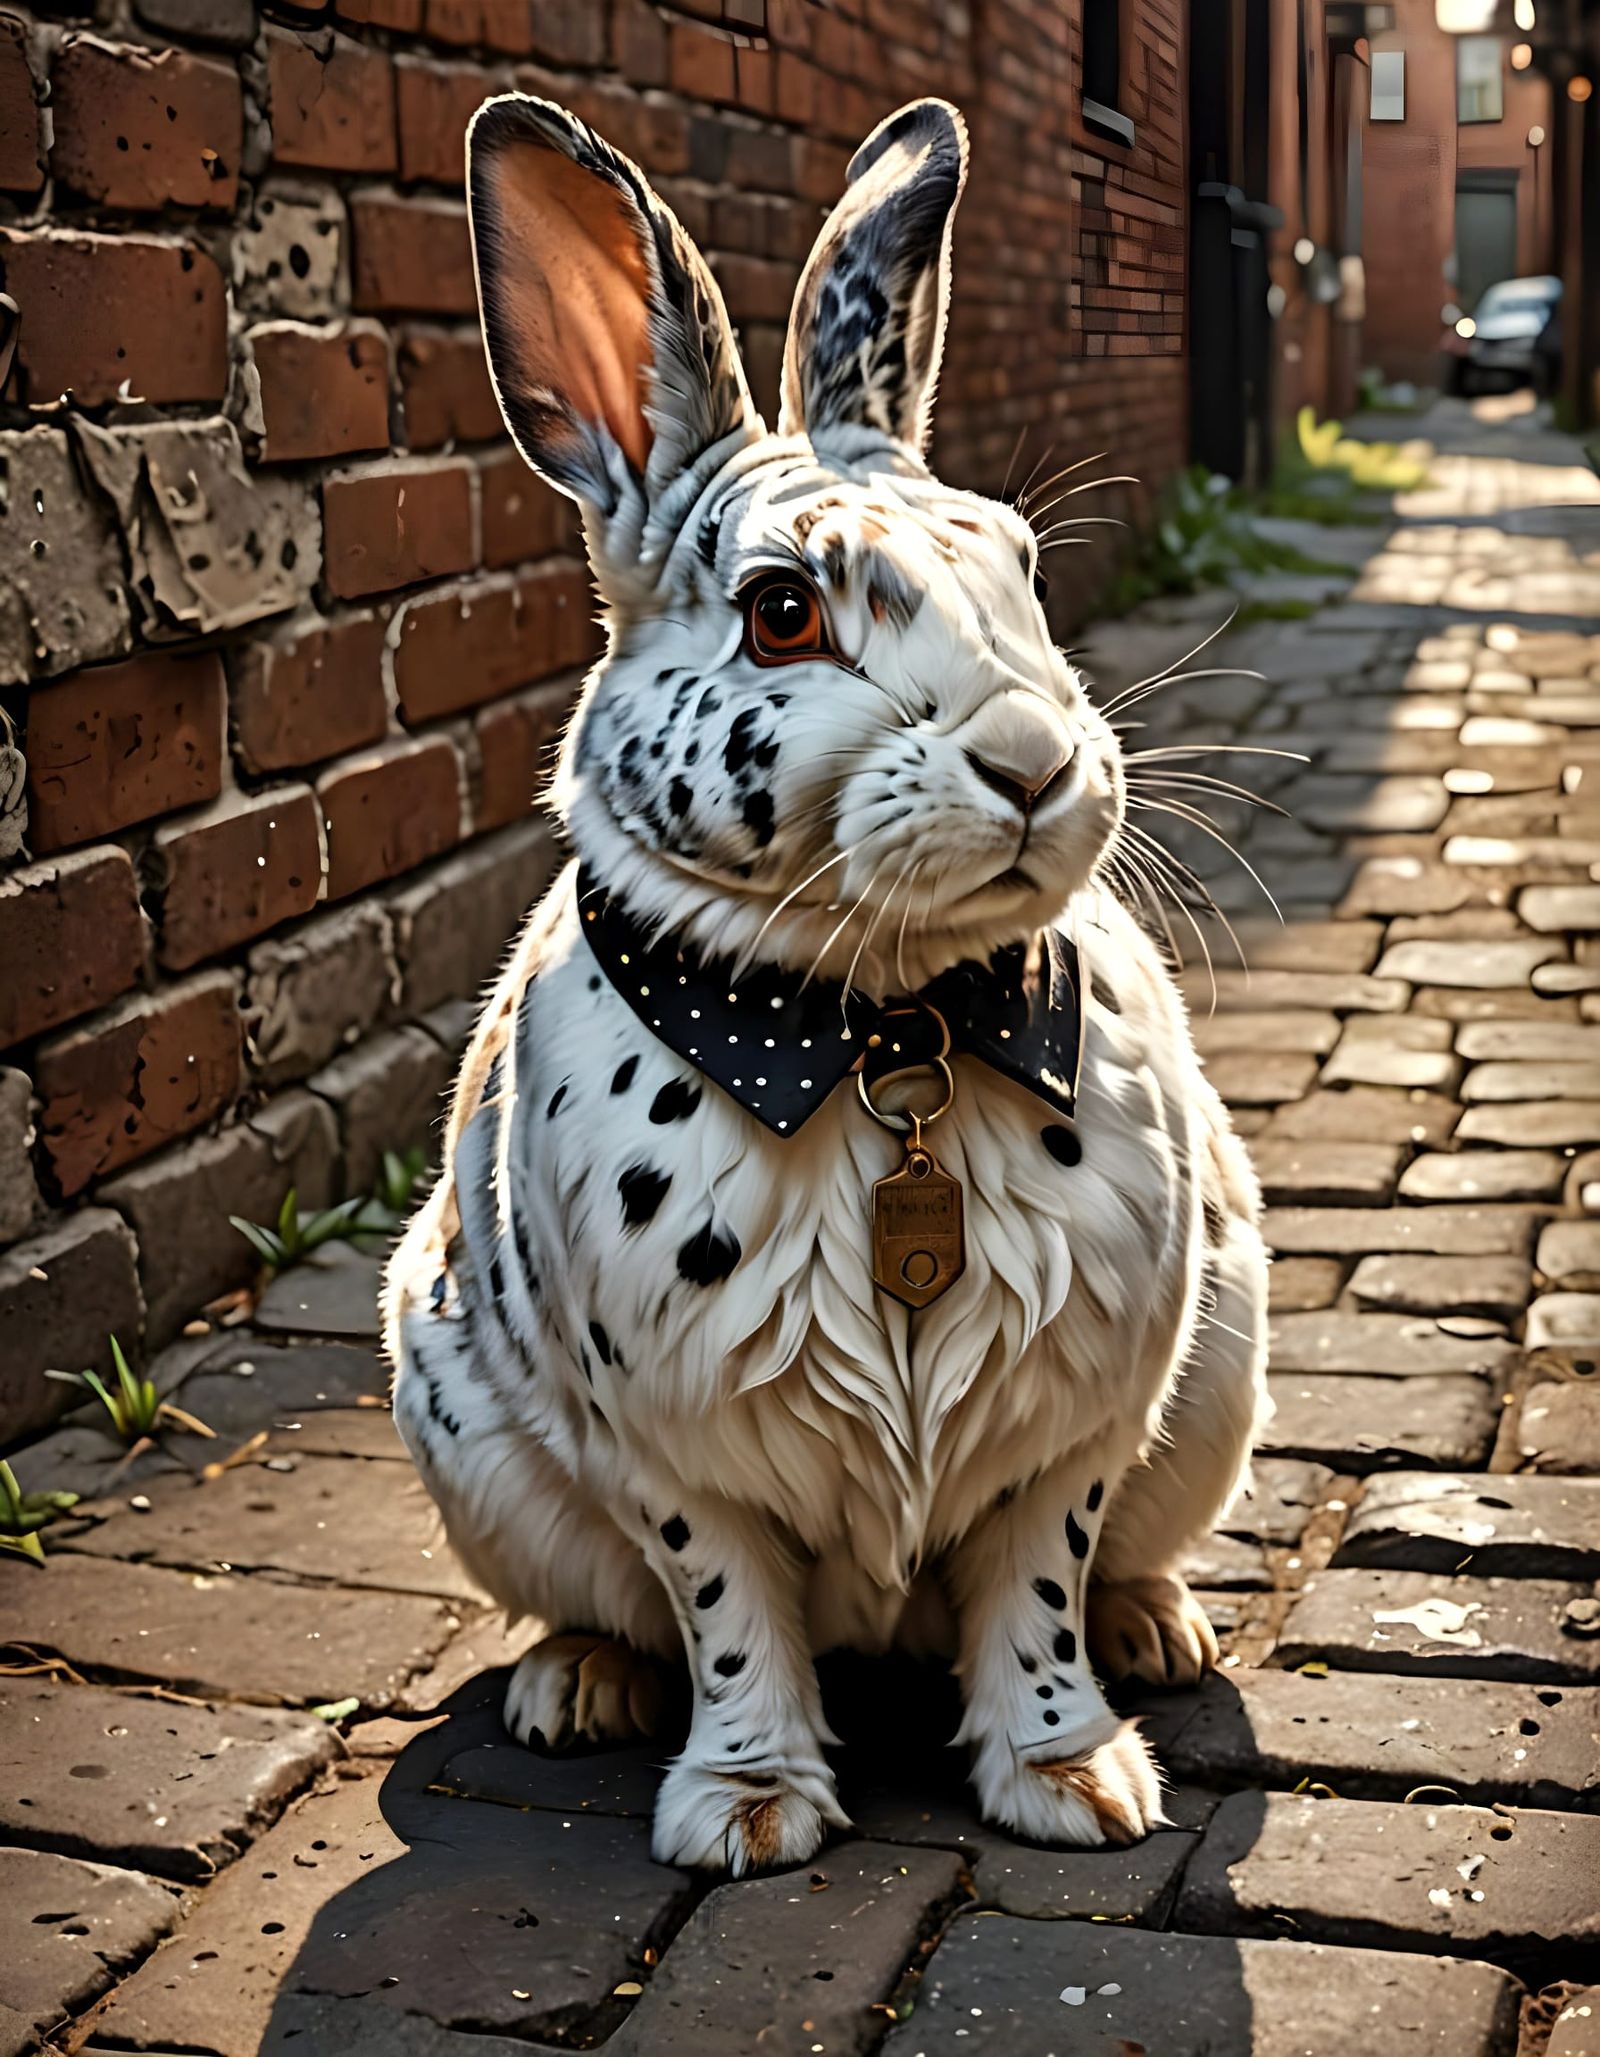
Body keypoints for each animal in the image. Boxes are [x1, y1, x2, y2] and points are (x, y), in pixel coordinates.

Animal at [385, 90, 1269, 1877]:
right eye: (782, 612)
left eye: (1025, 575)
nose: (1037, 763)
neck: (883, 1029)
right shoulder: (677, 1455)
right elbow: (728, 1610)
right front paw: (746, 1813)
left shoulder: (1067, 1438)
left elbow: (1037, 1583)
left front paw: (1075, 1782)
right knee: (614, 1610)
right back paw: (574, 1688)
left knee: (1116, 1566)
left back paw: (1159, 1630)